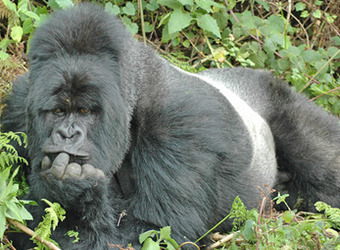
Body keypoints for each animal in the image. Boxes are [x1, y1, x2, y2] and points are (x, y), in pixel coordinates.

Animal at [0, 2, 340, 250]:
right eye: (58, 111)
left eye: (84, 110)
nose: (66, 134)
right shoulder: (18, 107)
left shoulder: (182, 123)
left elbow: (162, 232)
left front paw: (73, 195)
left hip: (278, 97)